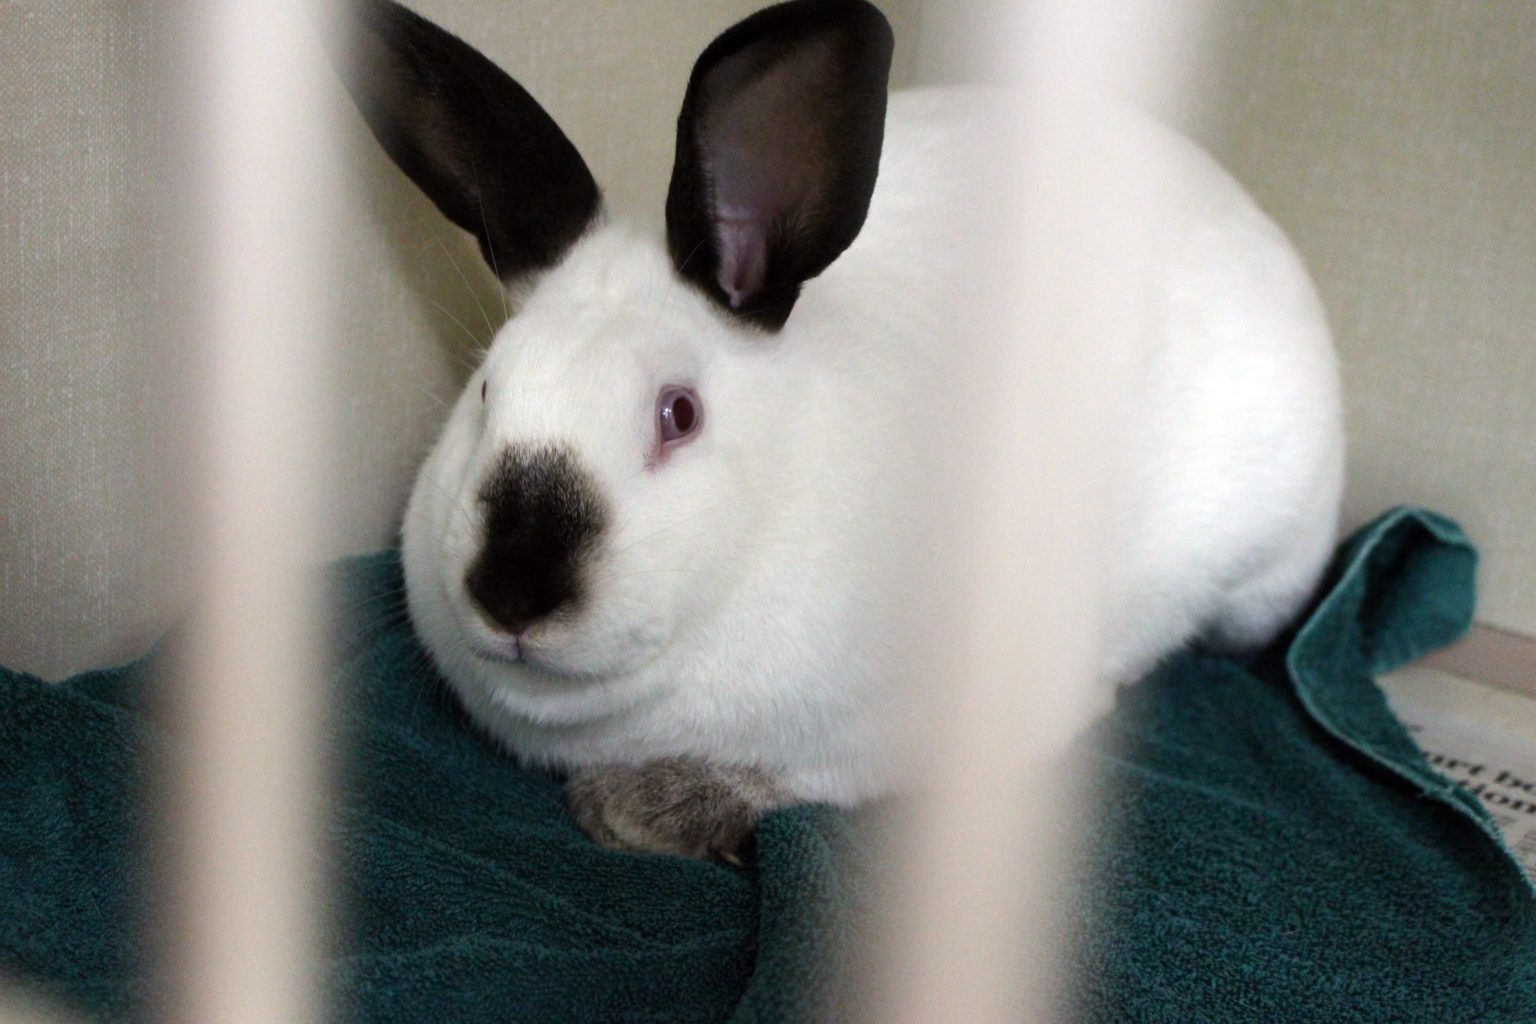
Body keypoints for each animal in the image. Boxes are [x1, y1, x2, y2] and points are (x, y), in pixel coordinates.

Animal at [335, 0, 1344, 861]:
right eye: (487, 389)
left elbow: (790, 782)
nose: (512, 593)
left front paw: (638, 808)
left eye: (679, 414)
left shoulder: (891, 742)